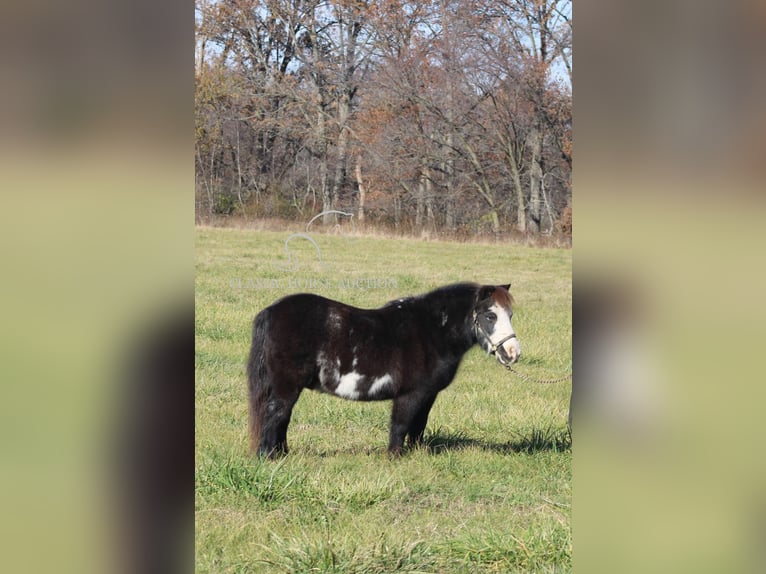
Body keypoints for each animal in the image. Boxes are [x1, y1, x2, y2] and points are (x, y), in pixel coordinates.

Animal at [249, 284, 524, 460]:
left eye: (510, 315)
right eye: (490, 315)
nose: (513, 352)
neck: (431, 332)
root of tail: (271, 311)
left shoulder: (428, 395)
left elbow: (418, 426)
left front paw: (416, 454)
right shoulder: (409, 394)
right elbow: (400, 425)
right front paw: (394, 457)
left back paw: (282, 454)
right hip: (286, 386)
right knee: (275, 414)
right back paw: (268, 457)